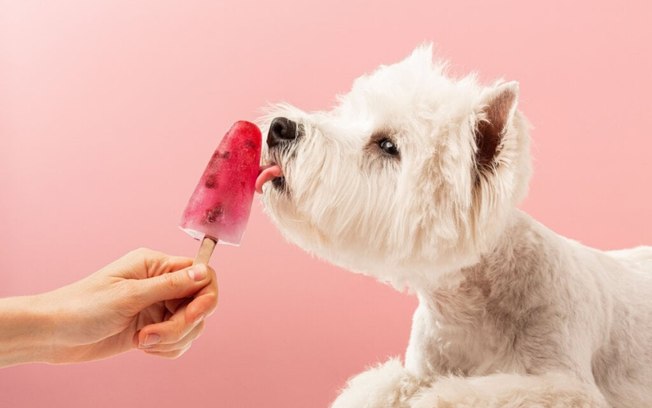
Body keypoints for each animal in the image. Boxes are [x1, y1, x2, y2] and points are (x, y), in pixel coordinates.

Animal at [252, 46, 648, 406]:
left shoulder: (564, 383)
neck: (468, 308)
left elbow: (465, 394)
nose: (279, 127)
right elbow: (381, 386)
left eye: (387, 145)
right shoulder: (420, 367)